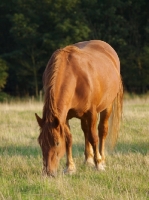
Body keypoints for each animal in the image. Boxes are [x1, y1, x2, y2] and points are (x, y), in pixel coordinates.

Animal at [35, 39, 123, 177]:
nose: (48, 172)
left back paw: (102, 160)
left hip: (106, 107)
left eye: (56, 143)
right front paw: (70, 167)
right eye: (40, 142)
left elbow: (94, 137)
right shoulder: (63, 117)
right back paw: (88, 160)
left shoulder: (92, 113)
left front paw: (98, 164)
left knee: (102, 131)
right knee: (85, 130)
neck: (74, 76)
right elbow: (69, 139)